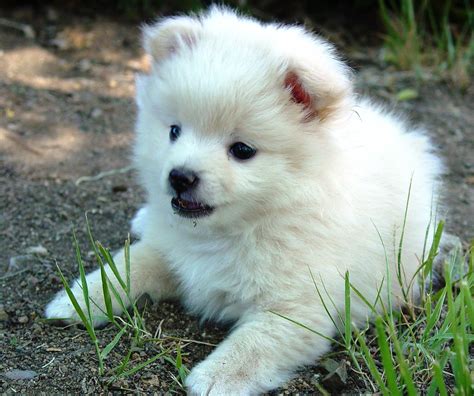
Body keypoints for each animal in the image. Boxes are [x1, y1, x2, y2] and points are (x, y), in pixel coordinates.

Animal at [46, 7, 442, 394]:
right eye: (174, 131)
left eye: (242, 150)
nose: (180, 177)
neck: (238, 228)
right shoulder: (169, 250)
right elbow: (125, 267)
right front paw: (76, 300)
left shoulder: (299, 306)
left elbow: (255, 344)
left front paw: (213, 378)